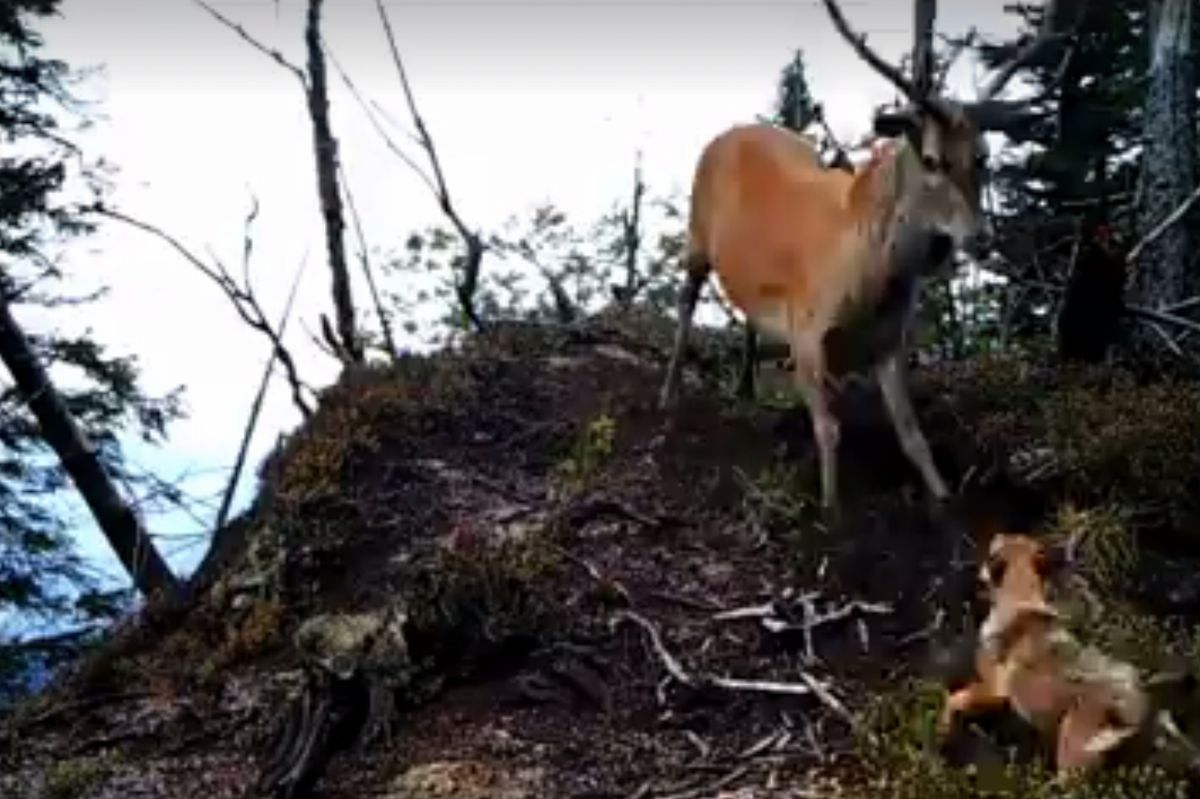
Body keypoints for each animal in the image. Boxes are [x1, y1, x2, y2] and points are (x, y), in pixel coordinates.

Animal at [657, 0, 1089, 511]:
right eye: (931, 159)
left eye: (983, 156)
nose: (981, 238)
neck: (867, 278)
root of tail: (730, 132)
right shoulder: (806, 329)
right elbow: (828, 429)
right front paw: (831, 510)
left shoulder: (888, 340)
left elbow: (912, 435)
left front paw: (944, 501)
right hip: (696, 234)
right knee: (686, 301)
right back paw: (668, 394)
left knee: (745, 313)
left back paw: (744, 389)